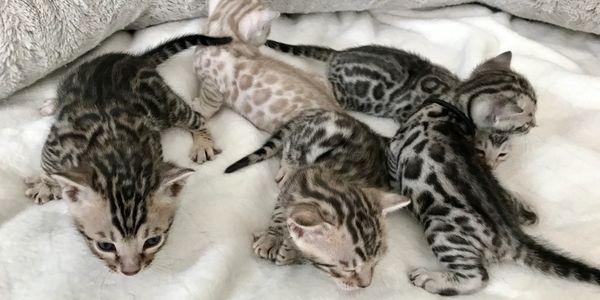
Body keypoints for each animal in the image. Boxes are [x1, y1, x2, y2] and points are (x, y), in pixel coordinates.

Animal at [23, 34, 231, 276]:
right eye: (105, 246)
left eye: (152, 241)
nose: (131, 271)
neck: (115, 150)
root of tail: (134, 59)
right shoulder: (55, 144)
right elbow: (47, 166)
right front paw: (46, 183)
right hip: (76, 77)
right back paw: (52, 104)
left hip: (164, 103)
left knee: (196, 116)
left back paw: (202, 142)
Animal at [223, 109, 410, 290]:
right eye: (349, 269)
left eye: (376, 262)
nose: (366, 285)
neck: (337, 179)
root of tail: (320, 111)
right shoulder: (290, 188)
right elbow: (280, 214)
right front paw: (272, 238)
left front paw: (293, 252)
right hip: (303, 142)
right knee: (288, 150)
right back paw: (286, 168)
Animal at [264, 40, 536, 168]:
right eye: (526, 122)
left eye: (503, 154)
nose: (534, 126)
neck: (458, 90)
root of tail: (337, 54)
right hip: (344, 94)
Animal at [384, 99, 600, 296]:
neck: (450, 113)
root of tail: (514, 237)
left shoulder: (395, 149)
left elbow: (392, 165)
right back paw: (526, 212)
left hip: (441, 228)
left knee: (478, 277)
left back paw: (431, 279)